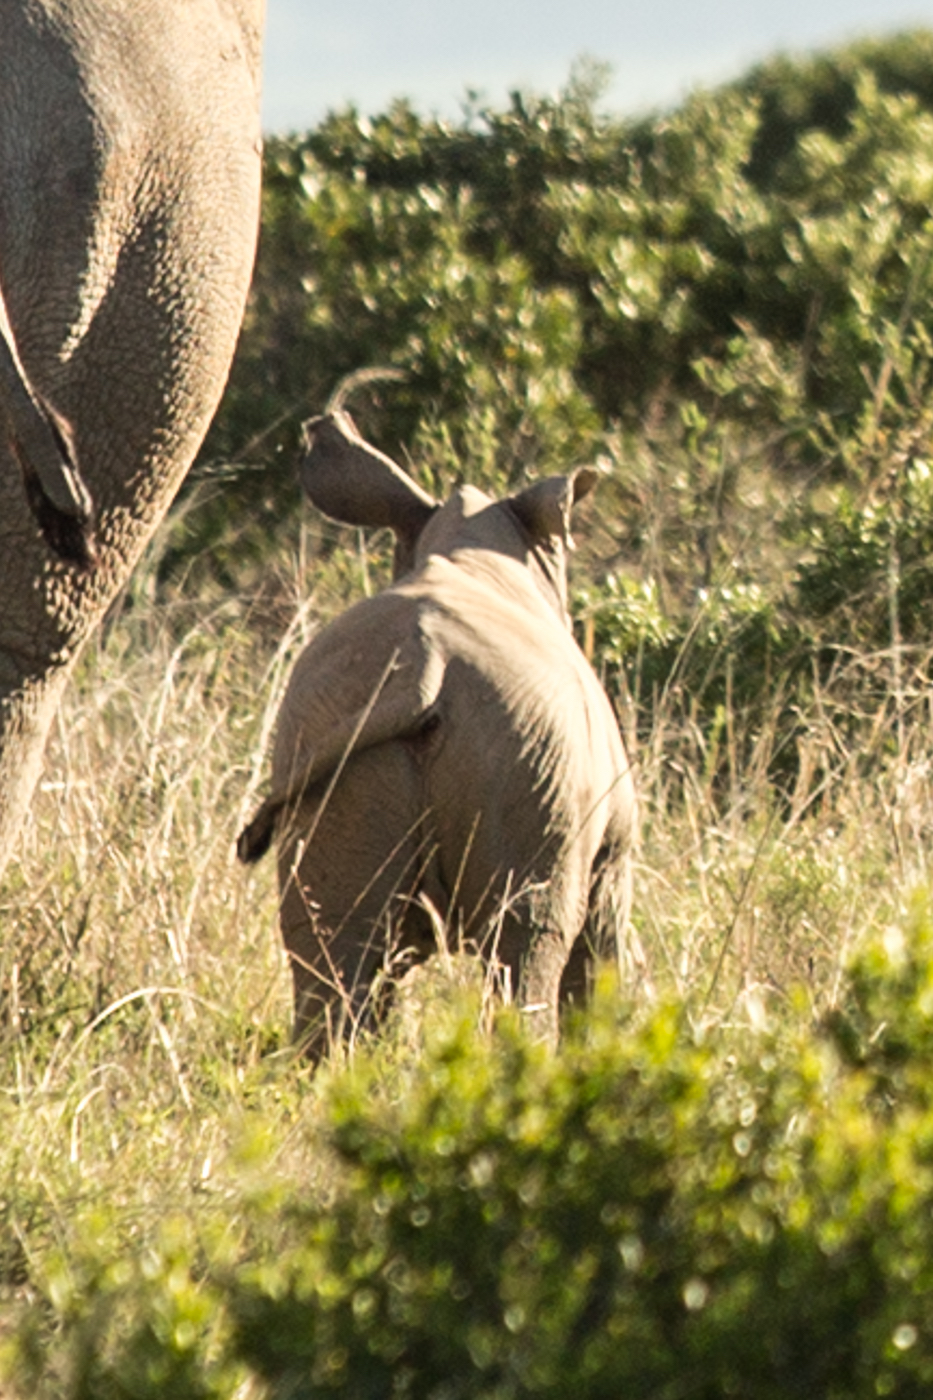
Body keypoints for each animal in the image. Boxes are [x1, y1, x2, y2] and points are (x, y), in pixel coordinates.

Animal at [236, 408, 636, 1052]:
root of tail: (429, 664)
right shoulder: (614, 855)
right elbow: (600, 960)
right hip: (530, 746)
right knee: (527, 940)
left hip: (332, 722)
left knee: (335, 942)